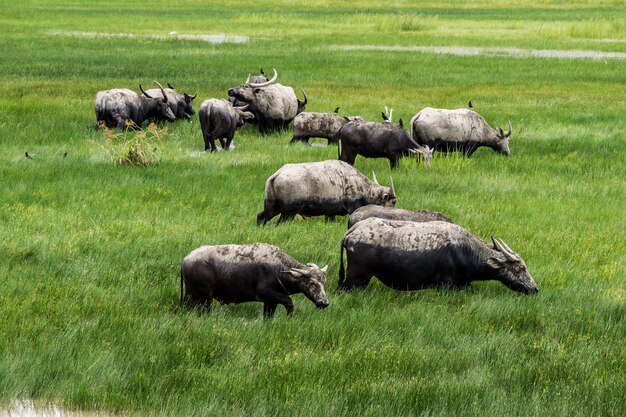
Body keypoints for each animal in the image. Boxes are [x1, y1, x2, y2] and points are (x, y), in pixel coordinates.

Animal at [179, 240, 330, 316]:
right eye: (312, 283)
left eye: (324, 282)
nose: (324, 302)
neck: (279, 269)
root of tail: (186, 259)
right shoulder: (265, 293)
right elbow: (289, 303)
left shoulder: (270, 302)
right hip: (204, 298)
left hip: (191, 296)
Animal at [255, 159, 394, 224]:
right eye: (393, 202)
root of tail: (276, 175)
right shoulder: (354, 208)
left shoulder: (330, 213)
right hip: (289, 212)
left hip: (273, 207)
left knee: (261, 216)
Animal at [338, 216, 540, 294]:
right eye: (520, 268)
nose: (535, 288)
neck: (465, 251)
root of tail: (351, 232)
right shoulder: (449, 283)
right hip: (356, 278)